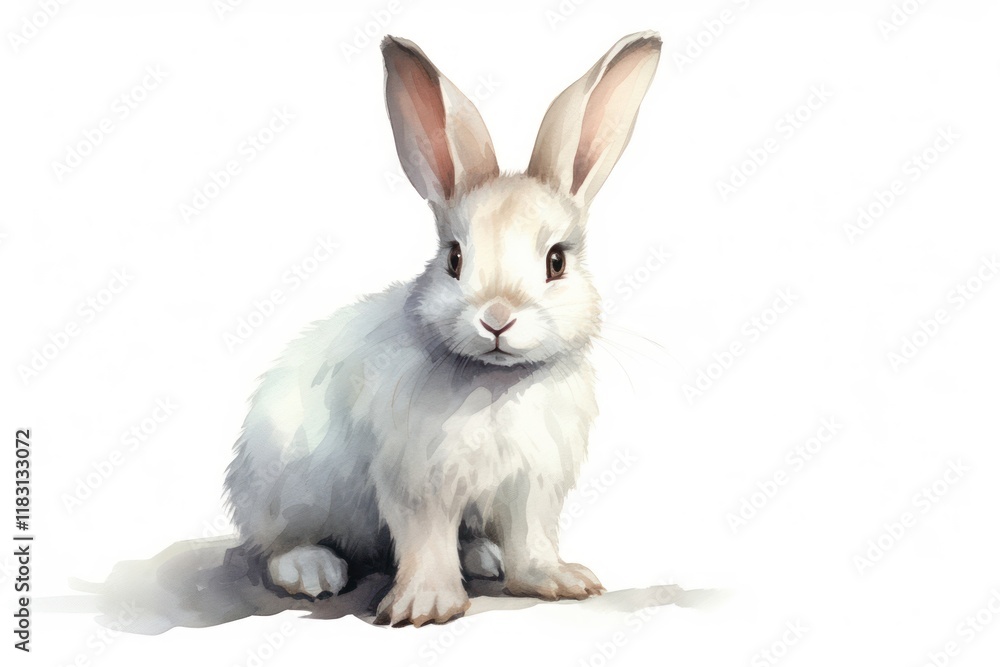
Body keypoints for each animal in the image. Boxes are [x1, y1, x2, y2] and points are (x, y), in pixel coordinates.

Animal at [224, 31, 661, 627]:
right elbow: (425, 540)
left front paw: (559, 580)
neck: (498, 384)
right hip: (287, 485)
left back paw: (484, 557)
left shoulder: (533, 486)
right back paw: (313, 571)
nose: (497, 318)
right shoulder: (416, 483)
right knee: (277, 543)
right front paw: (425, 606)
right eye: (453, 258)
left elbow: (532, 540)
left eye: (556, 261)